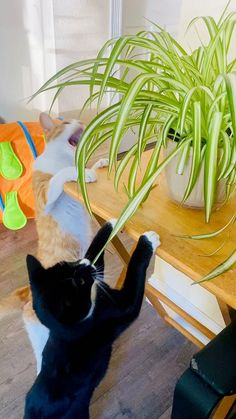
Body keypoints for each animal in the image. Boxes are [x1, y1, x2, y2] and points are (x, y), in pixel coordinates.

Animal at [0, 113, 108, 372]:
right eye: (66, 122)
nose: (80, 120)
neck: (62, 158)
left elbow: (84, 167)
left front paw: (98, 164)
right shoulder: (44, 194)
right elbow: (60, 176)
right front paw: (82, 172)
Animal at [24, 221, 160, 418]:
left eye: (66, 263)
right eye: (79, 282)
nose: (85, 264)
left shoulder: (99, 284)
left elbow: (95, 253)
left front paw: (111, 224)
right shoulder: (118, 310)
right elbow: (133, 276)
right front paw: (148, 240)